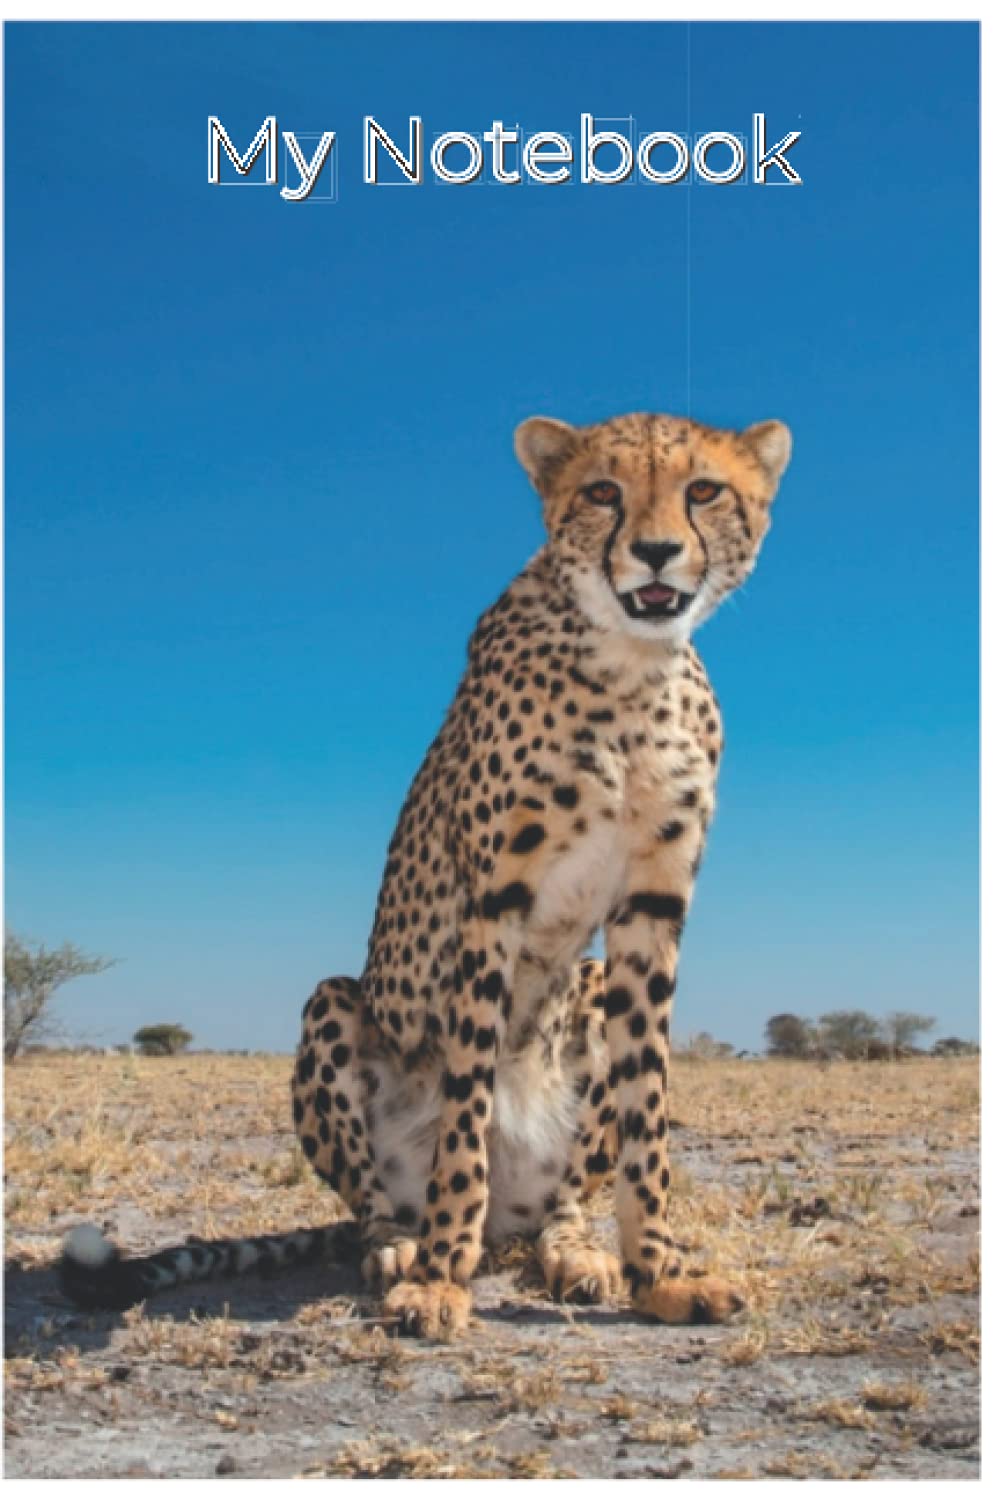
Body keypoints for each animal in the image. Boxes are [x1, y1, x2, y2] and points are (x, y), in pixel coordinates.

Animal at [60, 410, 791, 1341]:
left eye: (704, 490)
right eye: (602, 491)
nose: (657, 552)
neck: (631, 662)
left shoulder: (654, 903)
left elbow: (647, 1107)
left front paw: (659, 1276)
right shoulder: (492, 898)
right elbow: (466, 1109)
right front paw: (443, 1278)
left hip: (585, 993)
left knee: (558, 1206)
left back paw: (573, 1253)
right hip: (335, 1005)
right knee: (378, 1200)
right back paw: (403, 1248)